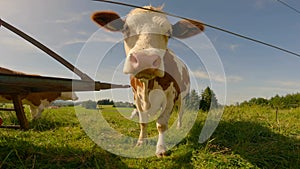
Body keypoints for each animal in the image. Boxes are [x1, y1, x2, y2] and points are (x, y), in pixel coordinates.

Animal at [91, 6, 204, 157]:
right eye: (125, 29)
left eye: (169, 33)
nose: (145, 59)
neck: (147, 85)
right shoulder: (137, 97)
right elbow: (143, 122)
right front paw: (140, 142)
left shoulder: (170, 96)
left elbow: (162, 124)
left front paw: (161, 149)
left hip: (183, 97)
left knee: (180, 112)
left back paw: (179, 127)